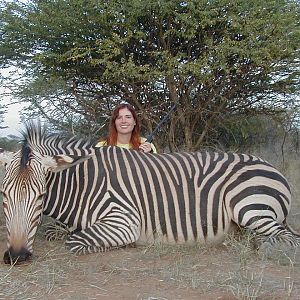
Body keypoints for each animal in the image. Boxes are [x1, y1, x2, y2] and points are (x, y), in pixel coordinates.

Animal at [0, 120, 298, 264]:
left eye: (40, 196)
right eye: (4, 196)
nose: (16, 256)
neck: (83, 184)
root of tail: (271, 166)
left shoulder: (123, 219)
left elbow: (75, 241)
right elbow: (56, 231)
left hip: (247, 206)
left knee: (289, 238)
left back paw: (266, 247)